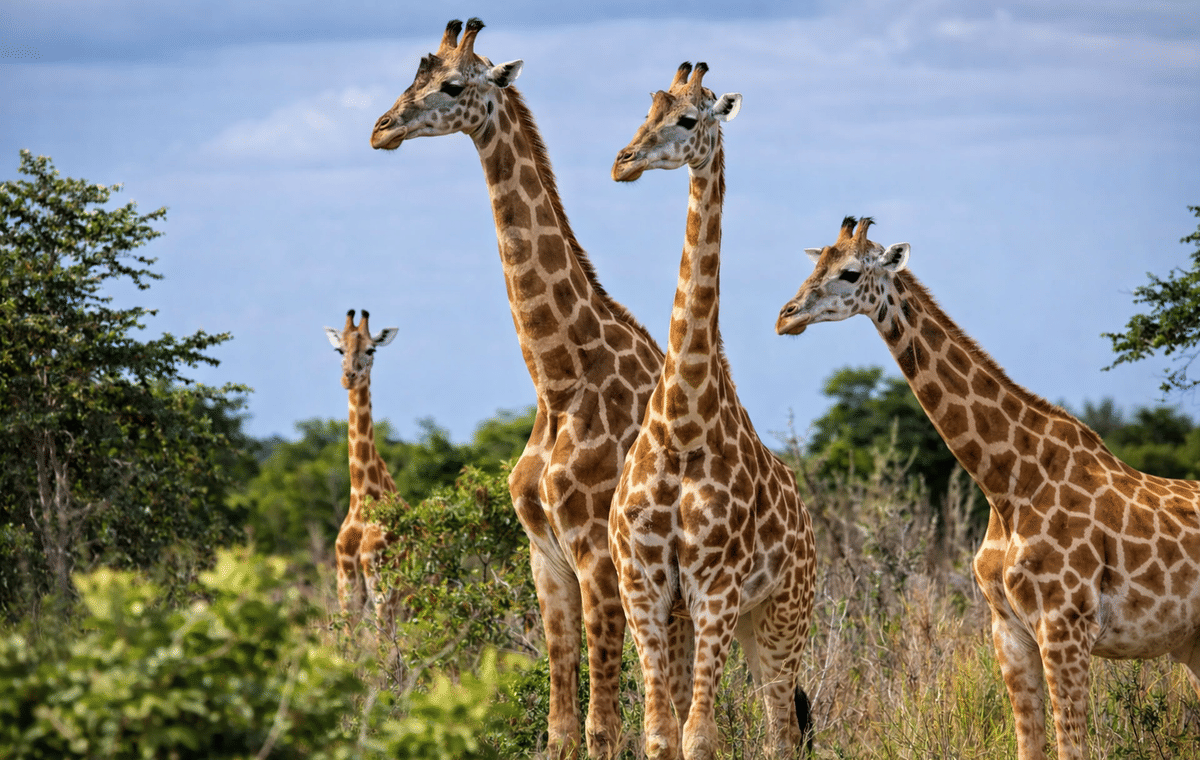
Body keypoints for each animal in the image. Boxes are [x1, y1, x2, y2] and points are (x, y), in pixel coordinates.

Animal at [370, 19, 664, 759]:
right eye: (412, 76)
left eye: (452, 85)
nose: (381, 130)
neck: (559, 380)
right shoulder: (544, 559)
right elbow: (560, 727)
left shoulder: (596, 555)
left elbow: (601, 727)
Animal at [609, 62, 816, 760]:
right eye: (646, 111)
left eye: (688, 119)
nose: (622, 162)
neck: (682, 424)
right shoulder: (644, 585)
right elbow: (659, 735)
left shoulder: (716, 588)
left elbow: (700, 736)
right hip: (723, 622)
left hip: (780, 615)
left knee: (783, 729)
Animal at [775, 216, 1200, 760]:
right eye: (816, 265)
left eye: (849, 272)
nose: (785, 318)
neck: (1007, 486)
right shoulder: (1009, 631)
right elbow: (1029, 747)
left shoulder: (1065, 628)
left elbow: (1071, 747)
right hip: (1191, 642)